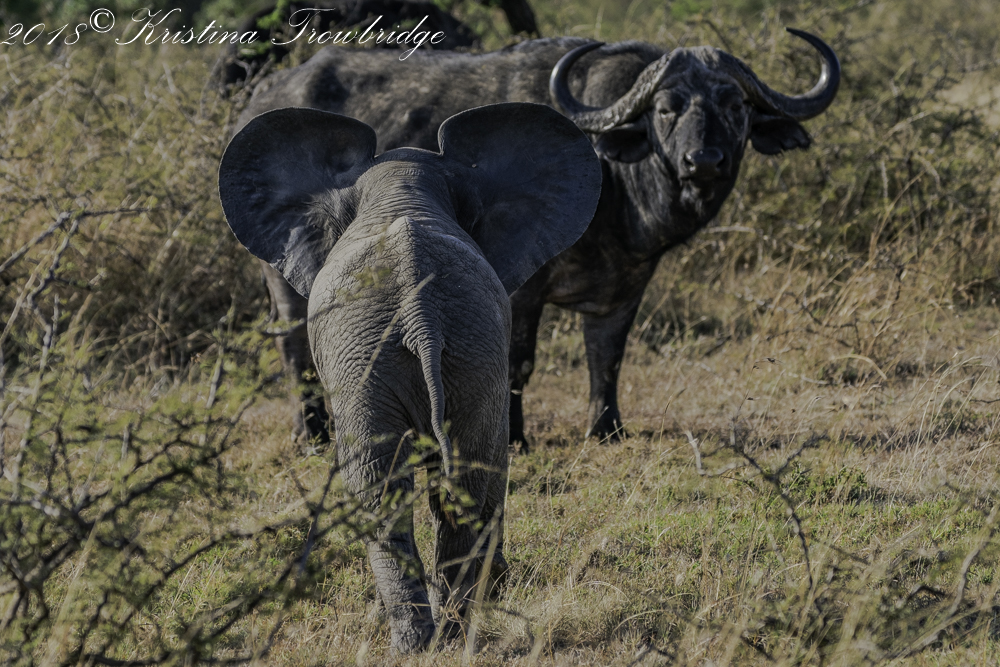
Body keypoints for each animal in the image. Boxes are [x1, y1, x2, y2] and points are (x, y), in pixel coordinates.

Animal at [218, 103, 602, 651]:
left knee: (401, 486)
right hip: (440, 354)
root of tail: (420, 313)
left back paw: (422, 638)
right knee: (445, 484)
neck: (402, 187)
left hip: (393, 358)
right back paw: (445, 636)